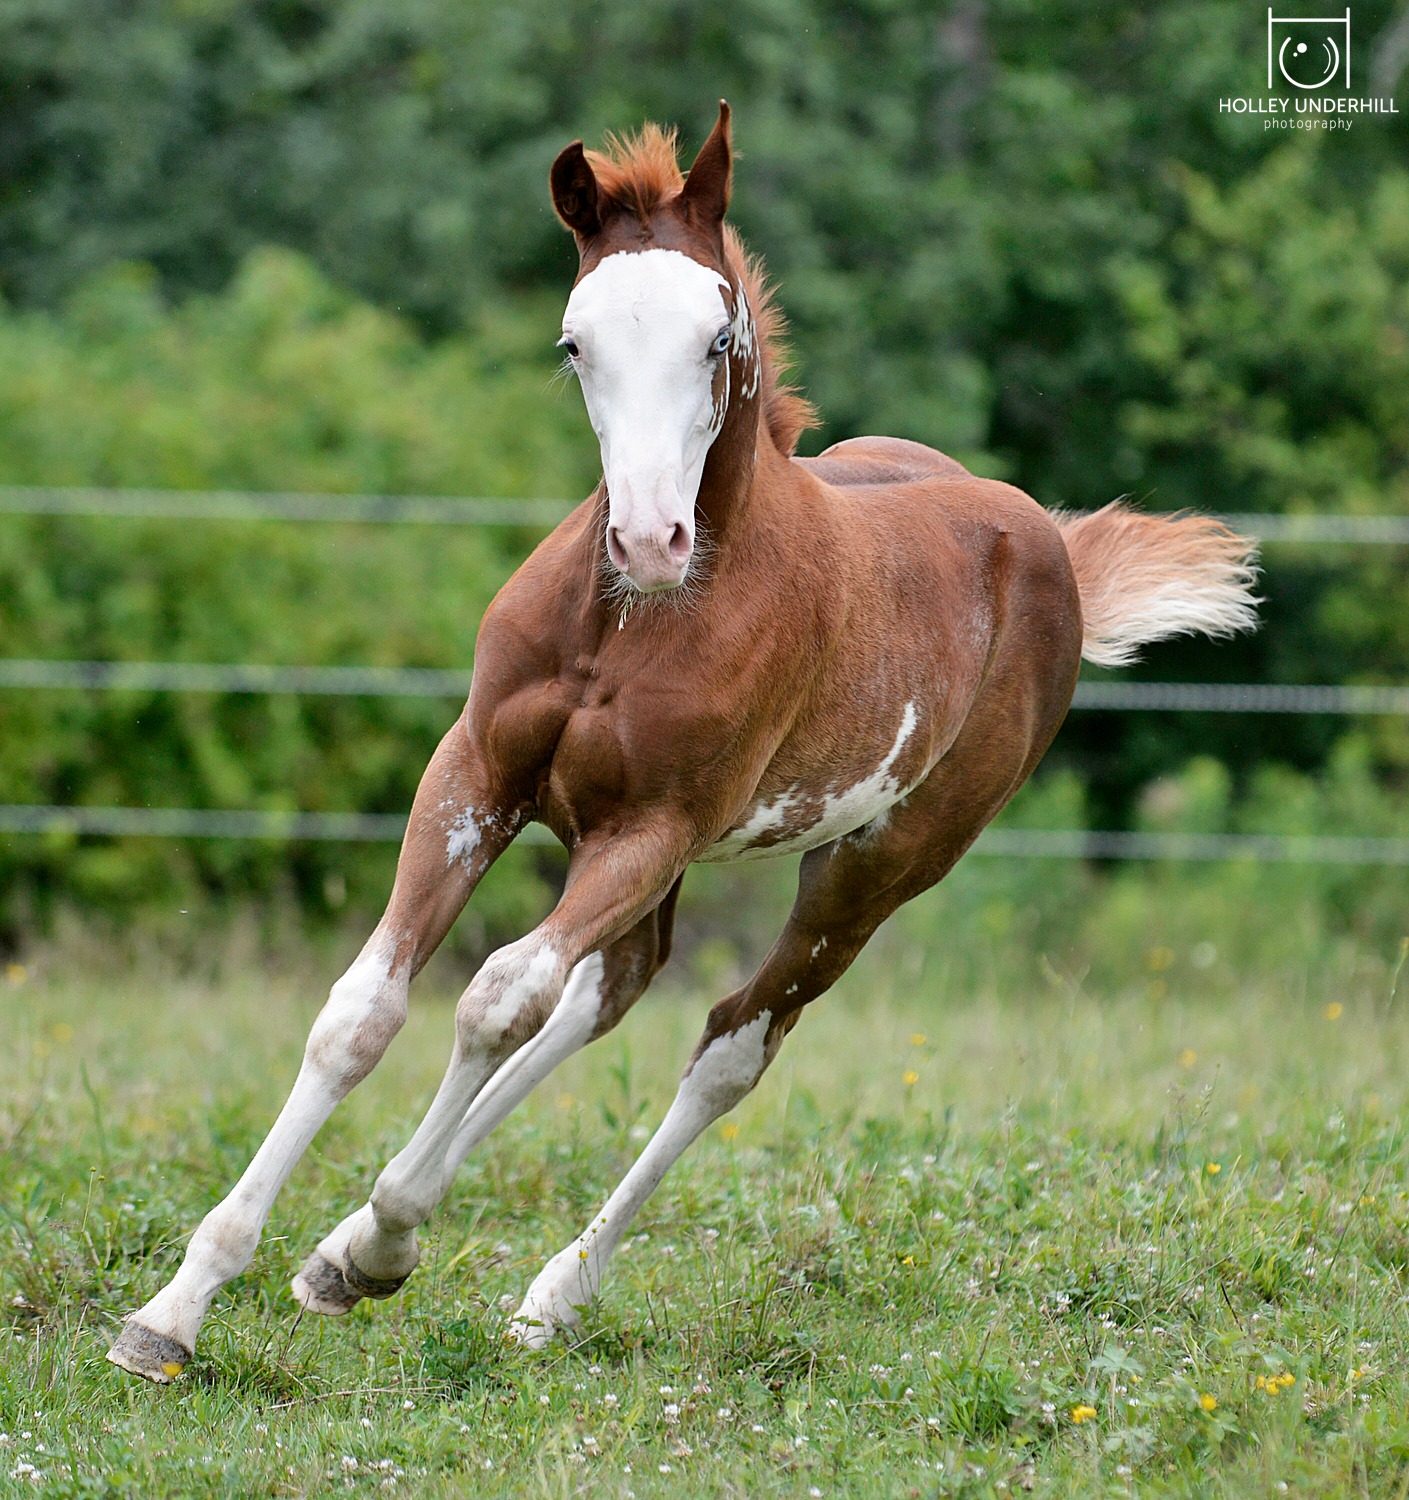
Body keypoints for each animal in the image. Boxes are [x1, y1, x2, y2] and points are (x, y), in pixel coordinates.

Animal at [107, 99, 1254, 1374]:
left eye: (716, 338)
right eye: (573, 344)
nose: (650, 539)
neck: (624, 624)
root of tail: (1043, 540)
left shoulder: (652, 828)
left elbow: (495, 999)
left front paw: (388, 1237)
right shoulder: (477, 774)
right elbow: (366, 1013)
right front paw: (177, 1310)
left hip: (872, 868)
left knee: (726, 1049)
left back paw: (547, 1289)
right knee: (609, 990)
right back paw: (351, 1248)